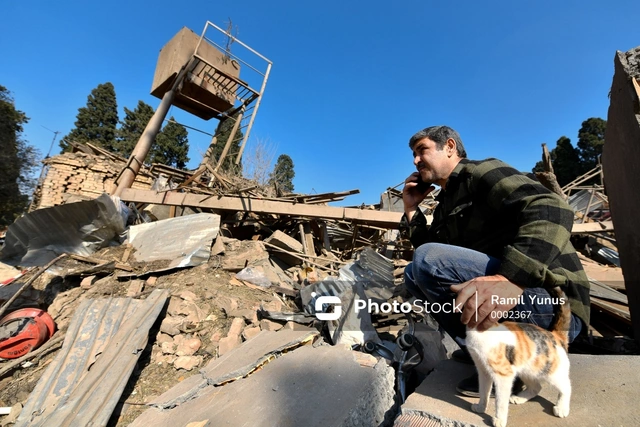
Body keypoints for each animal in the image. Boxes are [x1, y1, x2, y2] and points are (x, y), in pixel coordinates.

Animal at [462, 288, 572, 427]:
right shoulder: (483, 371)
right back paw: (519, 398)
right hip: (527, 370)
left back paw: (562, 408)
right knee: (536, 387)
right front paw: (481, 407)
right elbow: (483, 392)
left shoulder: (504, 375)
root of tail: (555, 335)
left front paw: (499, 419)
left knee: (566, 387)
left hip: (551, 373)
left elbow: (500, 401)